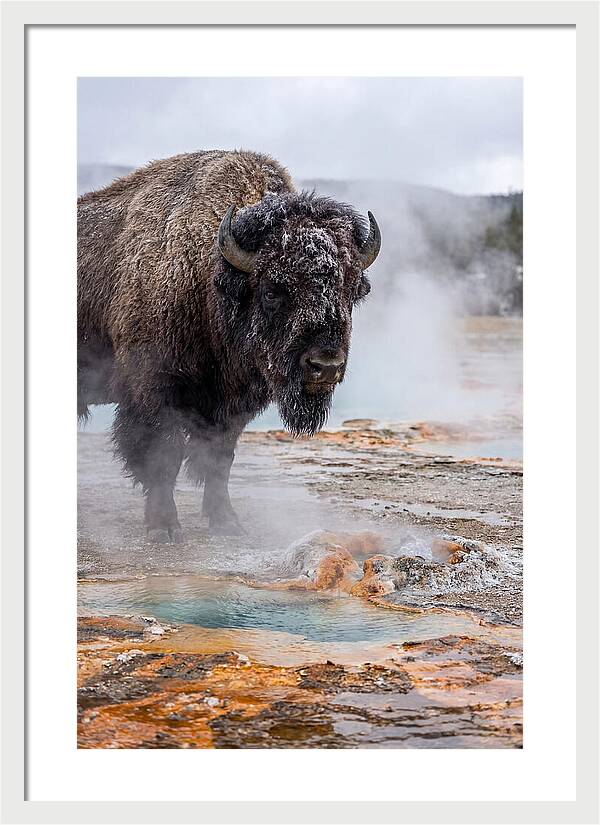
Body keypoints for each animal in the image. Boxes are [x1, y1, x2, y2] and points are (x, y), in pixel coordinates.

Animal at [78, 150, 381, 540]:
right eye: (272, 291)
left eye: (351, 291)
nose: (325, 366)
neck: (210, 276)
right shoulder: (153, 394)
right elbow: (163, 458)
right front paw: (165, 528)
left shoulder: (231, 407)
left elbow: (219, 460)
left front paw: (227, 522)